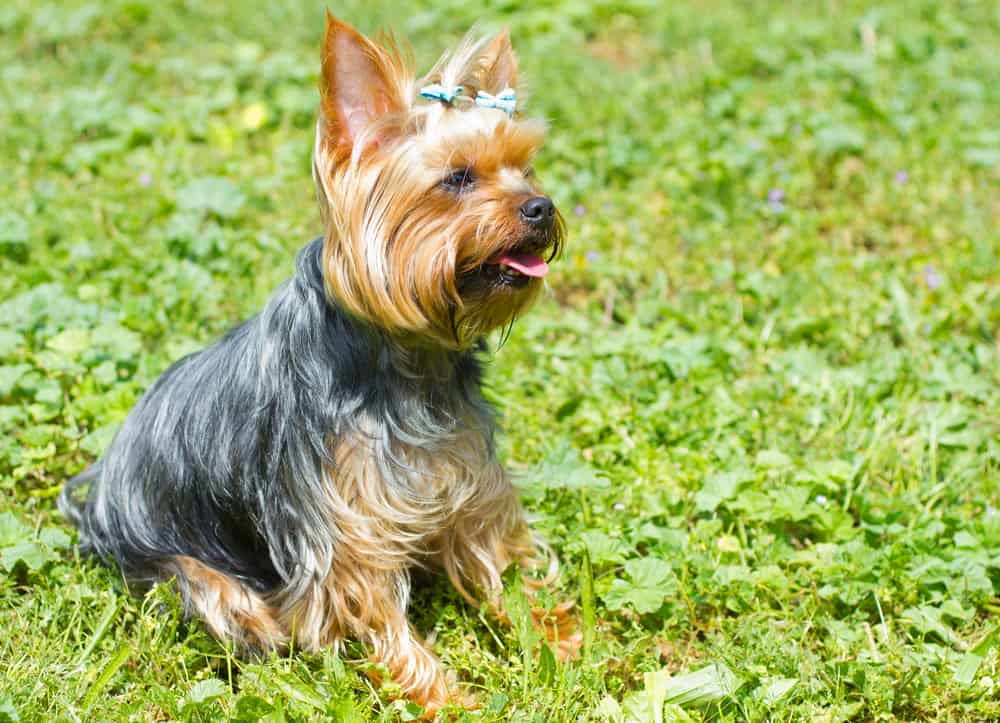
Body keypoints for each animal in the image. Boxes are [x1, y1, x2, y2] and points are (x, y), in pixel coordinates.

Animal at [62, 14, 576, 716]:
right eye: (458, 179)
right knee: (223, 600)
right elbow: (374, 614)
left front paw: (549, 633)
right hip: (174, 562)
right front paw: (444, 697)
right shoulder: (342, 523)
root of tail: (98, 492)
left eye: (526, 169)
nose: (541, 207)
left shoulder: (468, 473)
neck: (409, 360)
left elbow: (494, 556)